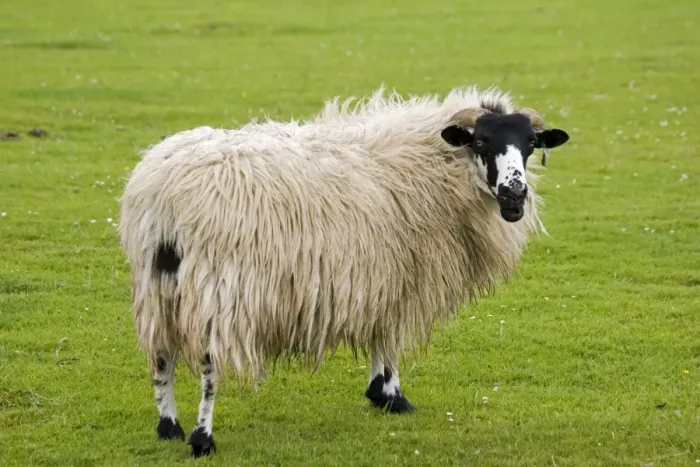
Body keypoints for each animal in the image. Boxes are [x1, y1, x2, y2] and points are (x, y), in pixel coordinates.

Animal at [118, 84, 570, 457]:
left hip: (155, 282)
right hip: (220, 286)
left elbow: (378, 329)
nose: (515, 194)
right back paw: (202, 438)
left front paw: (380, 393)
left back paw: (169, 426)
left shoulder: (378, 272)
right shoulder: (398, 271)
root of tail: (164, 194)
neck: (430, 167)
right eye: (479, 141)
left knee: (160, 355)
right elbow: (389, 334)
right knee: (210, 365)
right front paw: (392, 393)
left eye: (530, 145)